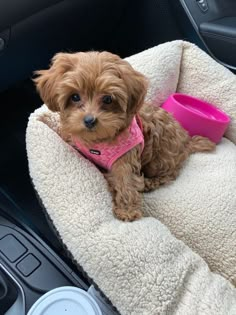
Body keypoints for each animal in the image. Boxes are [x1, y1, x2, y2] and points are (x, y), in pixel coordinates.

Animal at [34, 51, 216, 222]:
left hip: (162, 159)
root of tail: (187, 142)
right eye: (75, 97)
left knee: (169, 175)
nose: (89, 120)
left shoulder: (125, 158)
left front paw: (127, 211)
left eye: (108, 99)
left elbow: (126, 182)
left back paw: (150, 183)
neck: (98, 142)